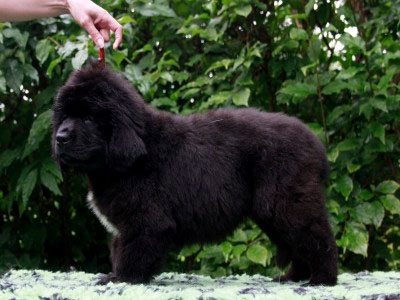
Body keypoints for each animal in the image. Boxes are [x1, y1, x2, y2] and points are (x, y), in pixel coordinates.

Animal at [52, 63, 338, 286]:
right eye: (64, 116)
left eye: (89, 118)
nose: (60, 138)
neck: (135, 153)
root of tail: (315, 143)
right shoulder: (125, 225)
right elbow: (119, 249)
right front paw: (117, 275)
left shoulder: (144, 221)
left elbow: (132, 251)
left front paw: (121, 278)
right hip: (272, 210)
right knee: (297, 242)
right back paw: (293, 277)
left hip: (286, 201)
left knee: (316, 236)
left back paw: (322, 280)